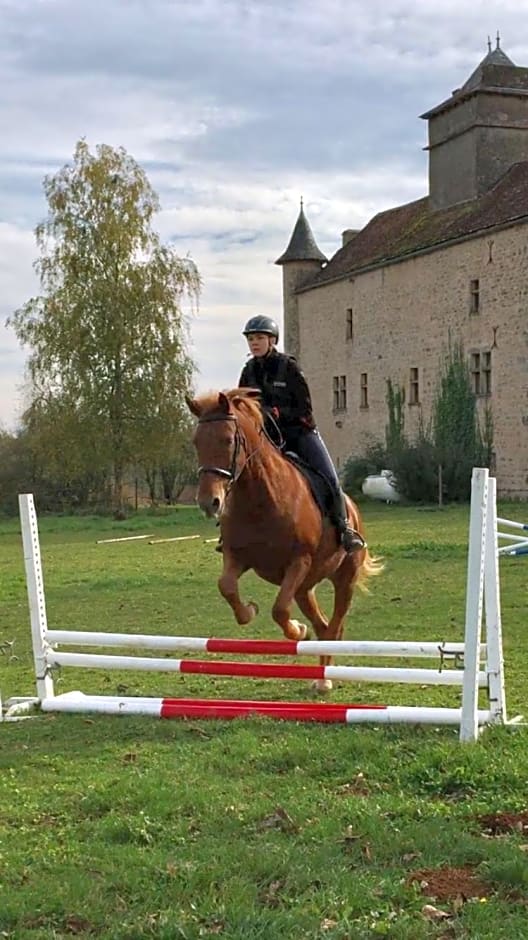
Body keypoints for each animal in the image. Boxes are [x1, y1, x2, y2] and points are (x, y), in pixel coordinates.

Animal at [186, 390, 380, 692]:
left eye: (228, 439)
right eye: (196, 442)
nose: (209, 503)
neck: (259, 498)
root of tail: (353, 509)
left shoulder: (299, 561)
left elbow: (278, 610)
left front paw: (297, 630)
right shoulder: (237, 556)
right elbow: (227, 587)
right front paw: (250, 611)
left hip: (343, 578)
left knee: (335, 626)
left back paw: (325, 679)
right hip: (304, 588)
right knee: (323, 625)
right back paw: (320, 675)